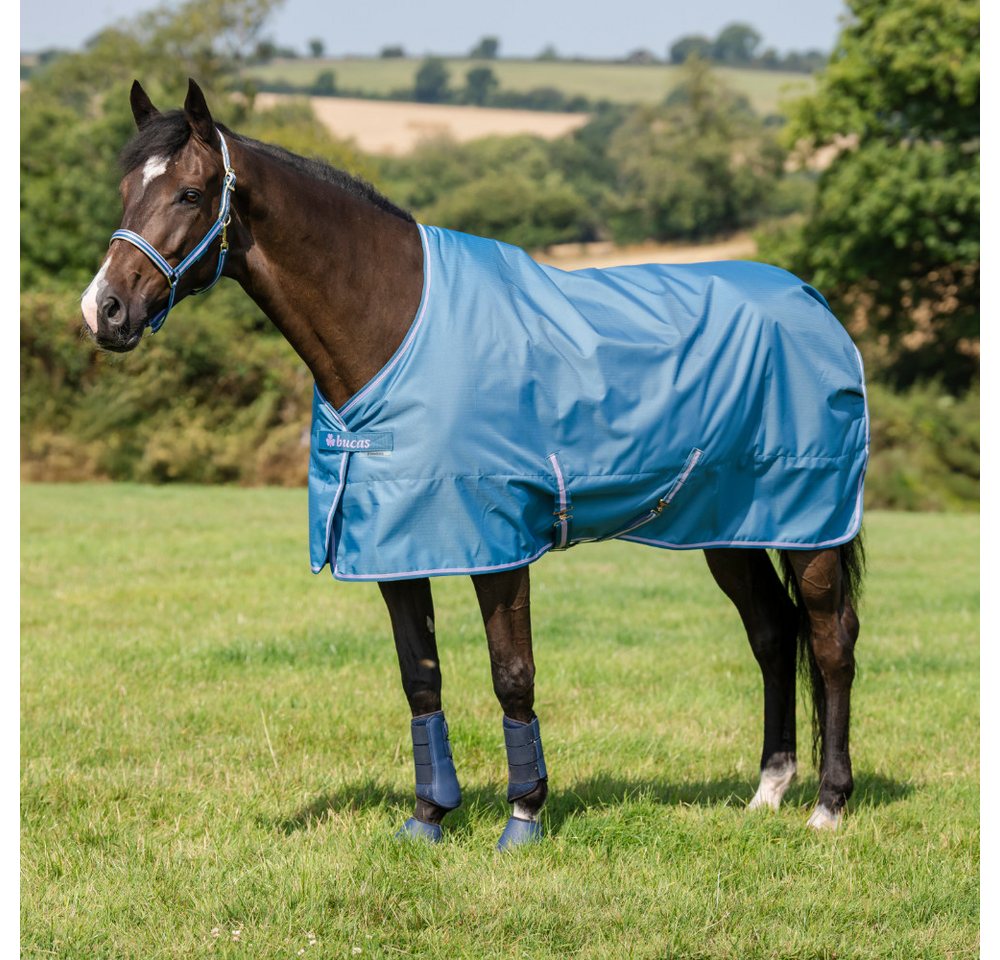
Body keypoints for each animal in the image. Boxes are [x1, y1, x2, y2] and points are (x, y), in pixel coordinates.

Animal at [81, 79, 866, 849]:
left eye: (190, 193)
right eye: (124, 191)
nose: (103, 311)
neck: (396, 326)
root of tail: (814, 304)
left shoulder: (499, 546)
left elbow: (511, 674)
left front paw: (524, 816)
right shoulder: (393, 549)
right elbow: (420, 679)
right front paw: (429, 817)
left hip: (813, 529)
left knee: (831, 643)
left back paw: (828, 804)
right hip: (732, 526)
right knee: (773, 635)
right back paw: (767, 792)